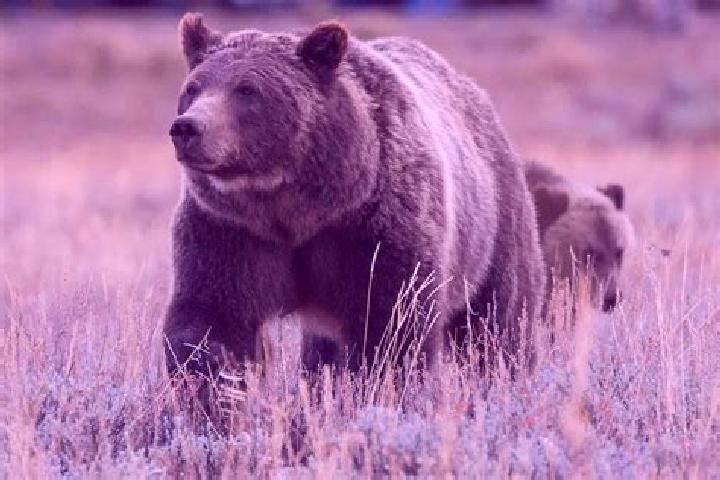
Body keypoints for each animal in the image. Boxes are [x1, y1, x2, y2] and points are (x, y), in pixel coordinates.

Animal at [163, 13, 545, 383]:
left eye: (247, 89)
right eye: (193, 87)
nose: (187, 127)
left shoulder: (376, 224)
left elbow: (391, 323)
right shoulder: (230, 228)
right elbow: (213, 316)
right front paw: (212, 386)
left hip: (493, 228)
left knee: (497, 319)